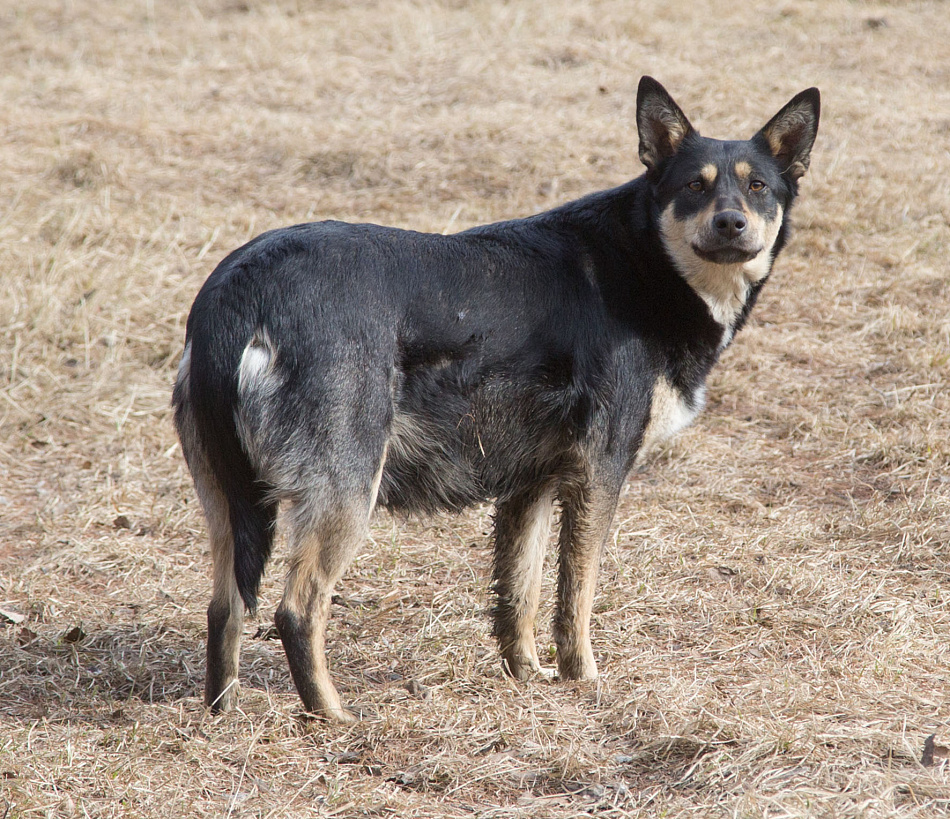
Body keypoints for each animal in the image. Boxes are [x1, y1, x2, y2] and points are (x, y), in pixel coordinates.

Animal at [177, 75, 820, 716]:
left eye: (758, 186)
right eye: (694, 186)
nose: (731, 223)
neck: (649, 259)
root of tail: (237, 293)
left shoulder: (529, 485)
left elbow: (519, 594)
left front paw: (526, 676)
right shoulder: (599, 473)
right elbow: (575, 596)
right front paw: (583, 682)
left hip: (228, 502)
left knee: (225, 608)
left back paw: (222, 712)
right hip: (346, 490)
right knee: (296, 610)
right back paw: (333, 716)